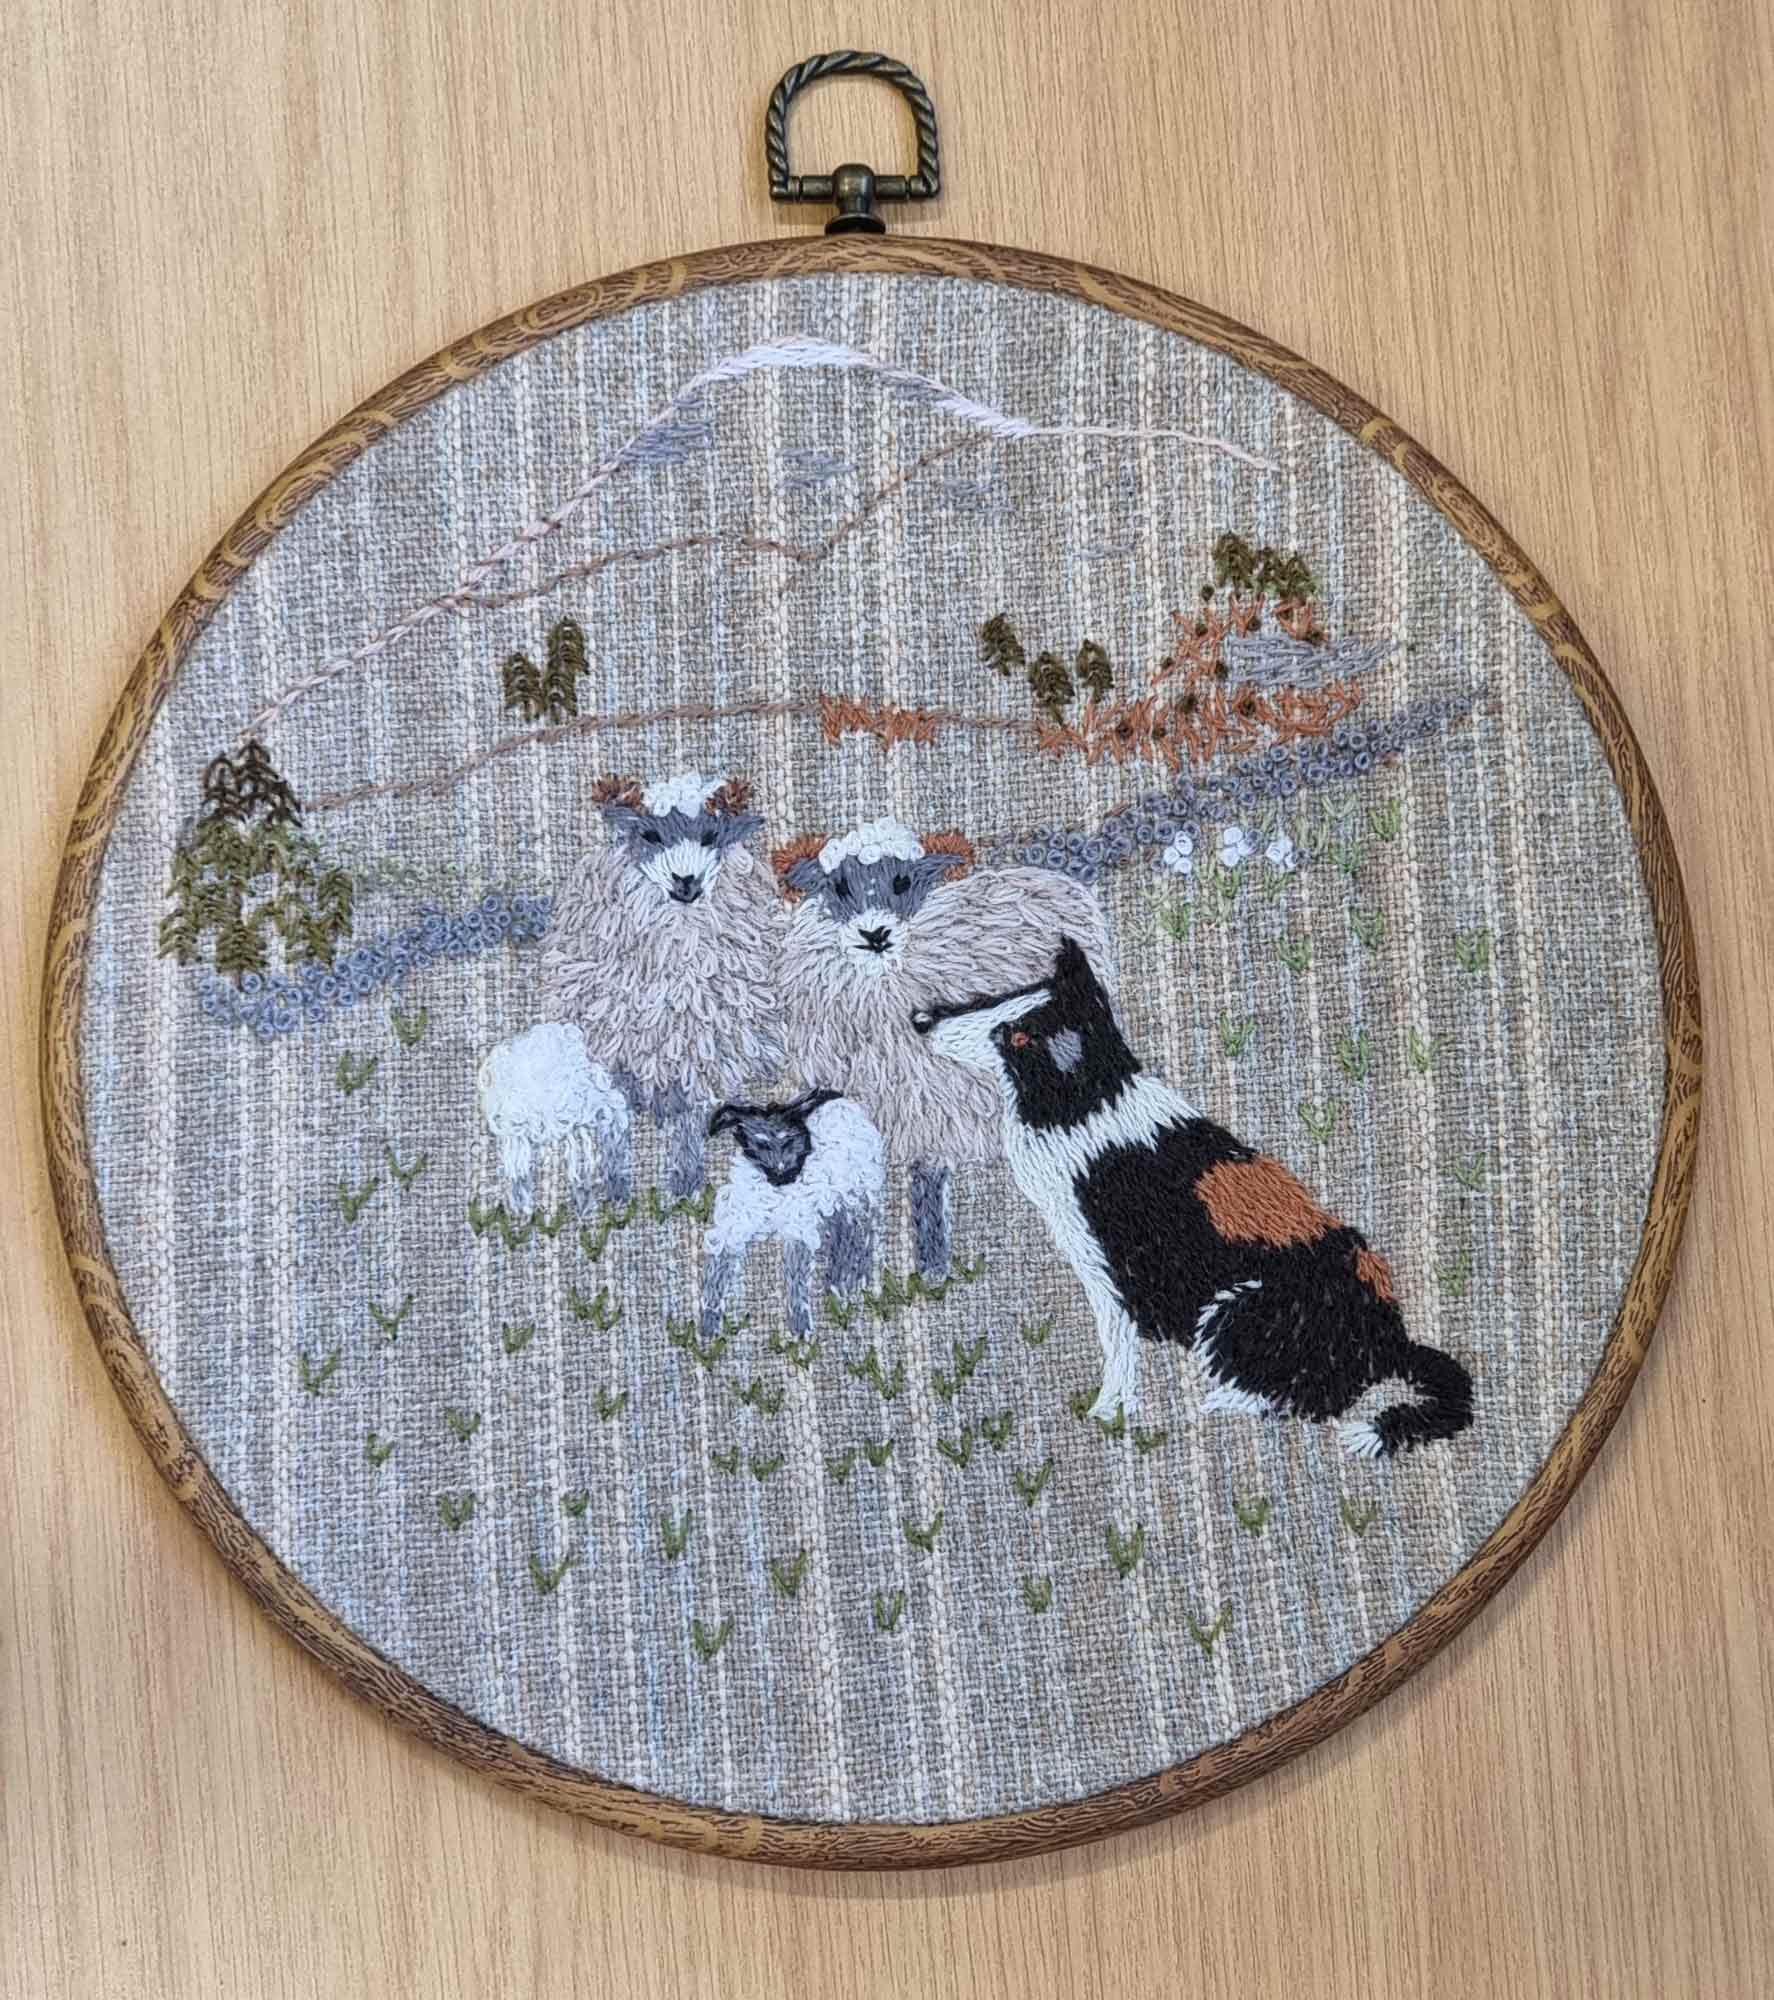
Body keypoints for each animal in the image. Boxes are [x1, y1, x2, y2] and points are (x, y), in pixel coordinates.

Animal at [540, 770, 788, 1197]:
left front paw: (685, 1189)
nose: (686, 882)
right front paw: (617, 1193)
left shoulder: (701, 1059)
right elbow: (616, 1125)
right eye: (651, 835)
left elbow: (690, 1125)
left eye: (711, 836)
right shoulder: (615, 1061)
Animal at [701, 1089, 885, 1338]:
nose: (784, 1175)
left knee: (858, 1244)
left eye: (791, 1140)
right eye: (760, 1144)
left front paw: (801, 1331)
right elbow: (717, 1272)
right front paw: (708, 1326)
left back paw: (849, 1288)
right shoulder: (733, 1227)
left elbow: (795, 1280)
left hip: (855, 1199)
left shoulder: (798, 1229)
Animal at [773, 819, 1114, 1279]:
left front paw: (931, 1273)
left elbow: (927, 1178)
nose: (875, 935)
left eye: (903, 881)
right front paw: (850, 1278)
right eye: (838, 886)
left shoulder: (932, 1108)